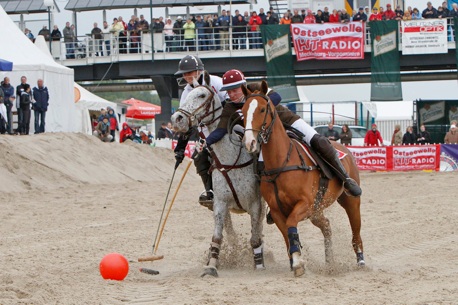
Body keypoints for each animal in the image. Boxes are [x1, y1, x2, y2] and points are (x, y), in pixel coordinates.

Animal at [171, 72, 264, 276]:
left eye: (202, 95)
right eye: (187, 95)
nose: (177, 119)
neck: (231, 158)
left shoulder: (256, 204)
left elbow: (255, 236)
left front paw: (259, 264)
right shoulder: (220, 204)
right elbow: (217, 237)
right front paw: (211, 266)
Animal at [240, 82, 364, 276]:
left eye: (262, 109)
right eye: (243, 110)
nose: (249, 143)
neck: (281, 162)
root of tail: (345, 148)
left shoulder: (304, 204)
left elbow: (292, 224)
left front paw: (298, 262)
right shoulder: (278, 211)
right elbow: (288, 235)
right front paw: (296, 261)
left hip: (350, 201)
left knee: (356, 232)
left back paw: (360, 260)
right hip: (317, 210)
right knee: (327, 226)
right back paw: (330, 263)